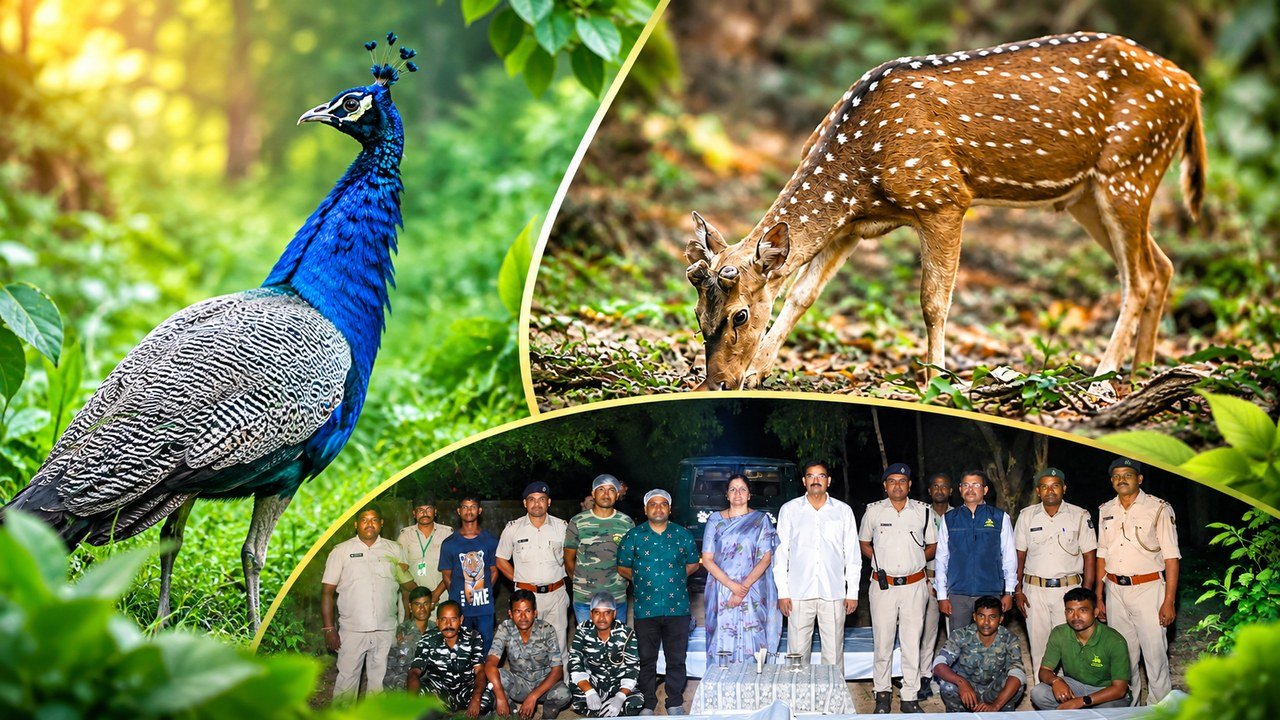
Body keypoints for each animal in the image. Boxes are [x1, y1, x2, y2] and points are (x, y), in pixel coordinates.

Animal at [685, 32, 1206, 391]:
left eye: (740, 316)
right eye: (698, 314)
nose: (718, 382)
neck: (861, 170)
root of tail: (1192, 89)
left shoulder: (945, 198)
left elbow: (933, 301)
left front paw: (934, 379)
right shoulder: (853, 225)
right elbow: (801, 295)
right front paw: (759, 373)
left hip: (1130, 169)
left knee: (1139, 276)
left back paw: (1104, 374)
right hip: (1087, 194)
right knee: (1162, 265)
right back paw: (1143, 370)